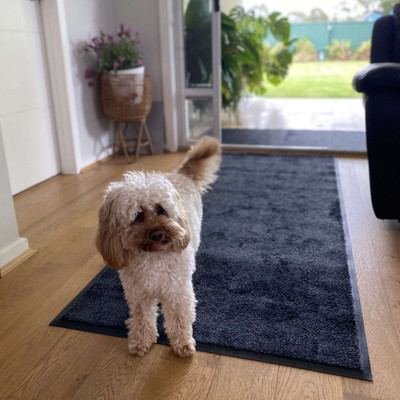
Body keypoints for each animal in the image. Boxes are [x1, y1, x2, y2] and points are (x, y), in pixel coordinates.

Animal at [97, 138, 222, 356]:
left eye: (161, 209)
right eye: (138, 216)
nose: (157, 234)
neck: (153, 259)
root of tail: (180, 174)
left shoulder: (177, 292)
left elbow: (180, 319)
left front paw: (183, 344)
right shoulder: (139, 294)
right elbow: (142, 318)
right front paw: (140, 341)